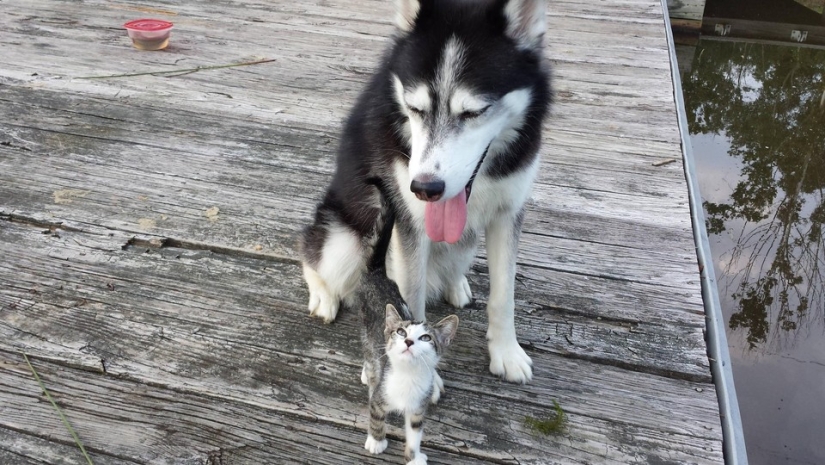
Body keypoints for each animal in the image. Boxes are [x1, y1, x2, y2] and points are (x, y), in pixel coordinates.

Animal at [300, 0, 552, 382]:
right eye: (415, 108)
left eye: (474, 111)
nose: (424, 188)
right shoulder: (410, 226)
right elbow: (410, 300)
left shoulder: (507, 213)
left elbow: (503, 294)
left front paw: (506, 352)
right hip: (342, 241)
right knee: (311, 252)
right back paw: (323, 296)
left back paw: (455, 284)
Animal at [354, 266, 458, 462]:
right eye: (401, 332)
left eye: (426, 338)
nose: (409, 341)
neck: (408, 375)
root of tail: (377, 274)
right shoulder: (380, 396)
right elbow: (376, 417)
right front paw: (376, 441)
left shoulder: (418, 408)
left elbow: (415, 433)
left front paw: (414, 458)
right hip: (366, 331)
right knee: (370, 355)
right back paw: (368, 375)